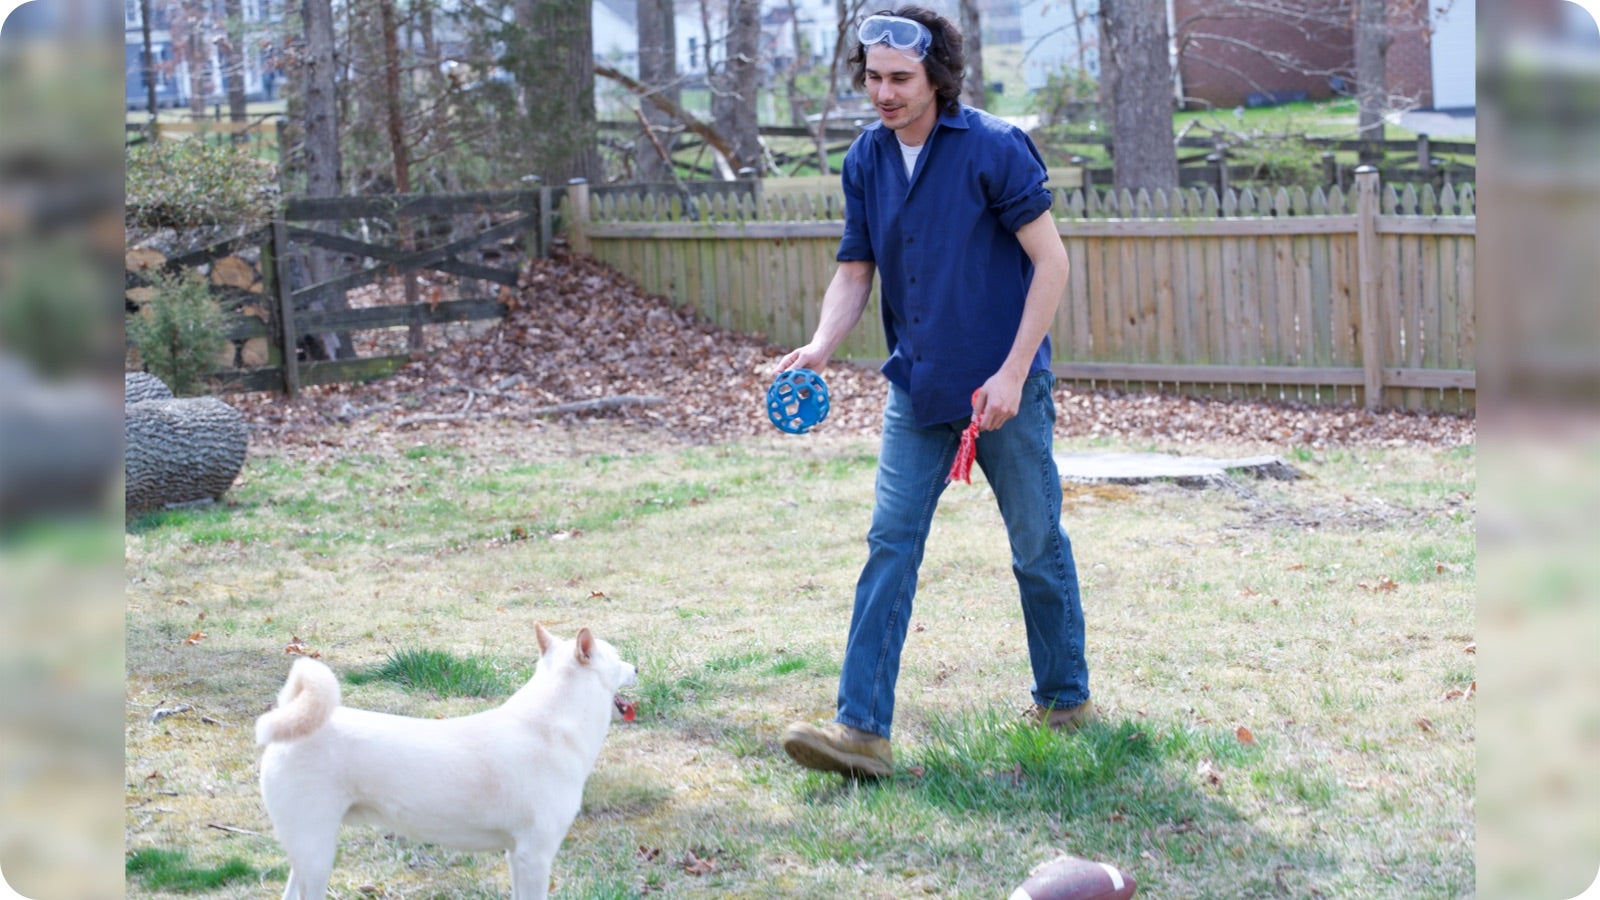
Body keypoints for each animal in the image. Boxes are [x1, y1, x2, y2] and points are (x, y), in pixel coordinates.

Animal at [256, 624, 636, 896]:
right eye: (616, 656)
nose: (636, 666)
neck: (550, 725)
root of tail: (288, 719)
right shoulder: (535, 855)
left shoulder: (517, 856)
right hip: (317, 853)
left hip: (306, 855)